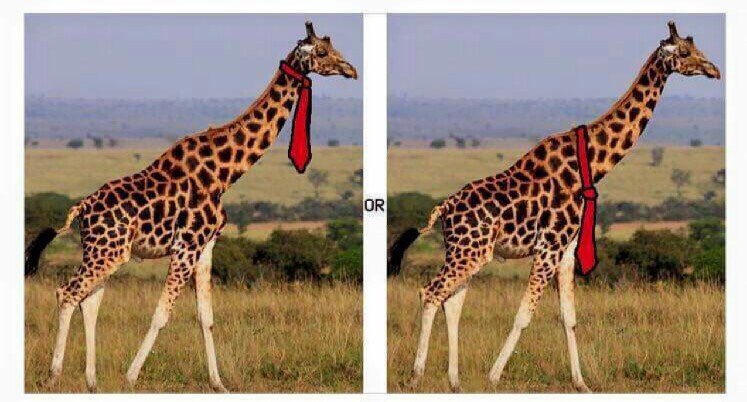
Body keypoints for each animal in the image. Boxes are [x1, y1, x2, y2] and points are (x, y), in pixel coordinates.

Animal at [24, 22, 357, 393]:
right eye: (323, 52)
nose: (351, 70)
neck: (225, 173)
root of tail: (82, 208)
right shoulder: (186, 245)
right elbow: (162, 313)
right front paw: (131, 376)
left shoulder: (206, 245)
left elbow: (205, 316)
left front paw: (218, 382)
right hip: (105, 252)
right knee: (67, 294)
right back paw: (53, 376)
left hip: (106, 252)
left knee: (90, 302)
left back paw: (92, 381)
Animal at [388, 21, 720, 393]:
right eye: (686, 52)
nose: (714, 70)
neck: (591, 163)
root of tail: (444, 209)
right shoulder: (548, 246)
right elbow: (524, 314)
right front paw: (494, 376)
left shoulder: (566, 249)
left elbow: (568, 317)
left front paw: (581, 382)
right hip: (469, 252)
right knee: (430, 293)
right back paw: (416, 376)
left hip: (466, 251)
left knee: (453, 302)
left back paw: (455, 381)